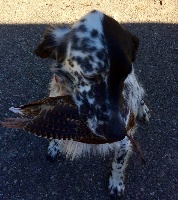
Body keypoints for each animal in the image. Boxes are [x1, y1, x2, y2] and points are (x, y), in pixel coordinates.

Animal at [2, 10, 151, 198]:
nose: (117, 132)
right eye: (90, 76)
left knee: (139, 96)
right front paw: (55, 144)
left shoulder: (125, 140)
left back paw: (142, 110)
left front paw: (116, 183)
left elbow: (118, 163)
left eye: (125, 74)